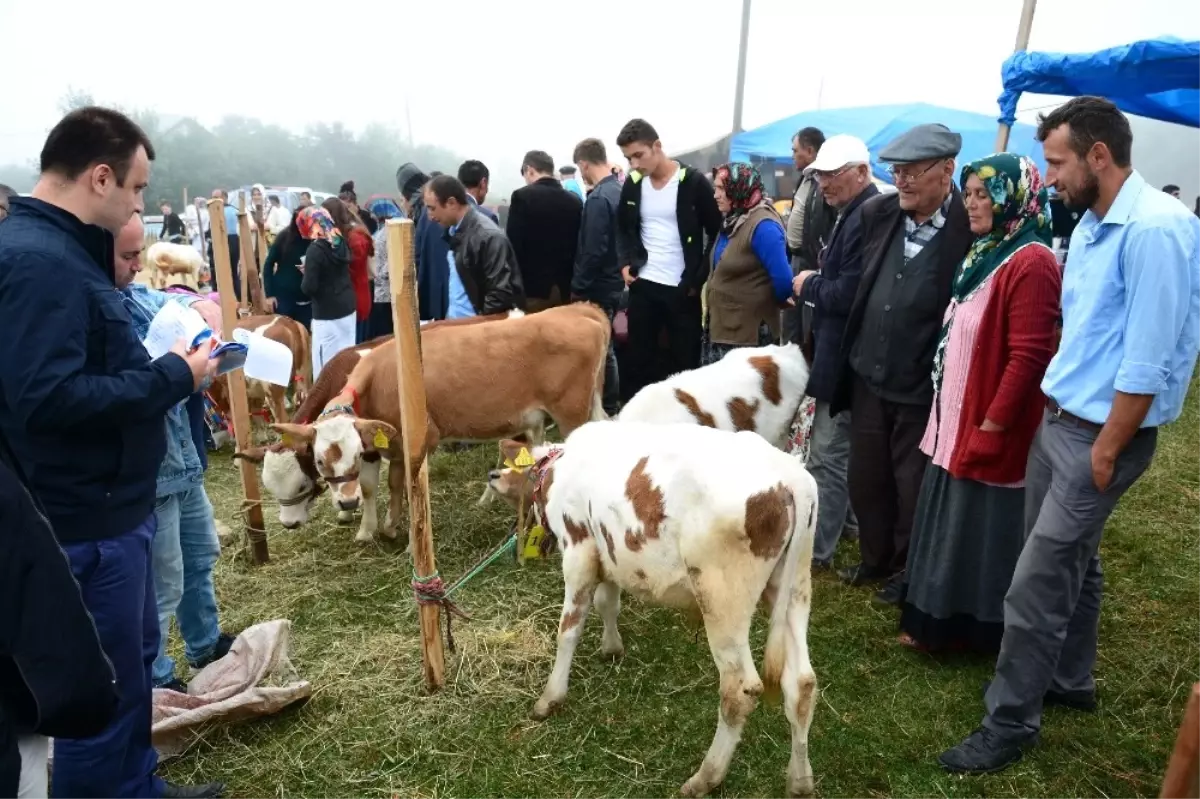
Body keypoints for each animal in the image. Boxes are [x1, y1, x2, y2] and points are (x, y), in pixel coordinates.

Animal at [272, 299, 609, 542]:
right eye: (319, 462)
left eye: (304, 478)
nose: (346, 504)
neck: (377, 378)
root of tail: (579, 309)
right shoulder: (393, 443)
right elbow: (394, 482)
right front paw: (390, 526)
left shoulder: (424, 437)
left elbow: (405, 487)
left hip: (570, 411)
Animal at [484, 419, 816, 791]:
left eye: (512, 466)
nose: (492, 474)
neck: (558, 468)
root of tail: (791, 477)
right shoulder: (608, 552)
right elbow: (607, 602)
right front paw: (612, 647)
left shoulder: (579, 550)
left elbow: (568, 630)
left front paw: (550, 698)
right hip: (793, 589)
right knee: (801, 683)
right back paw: (800, 781)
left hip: (723, 600)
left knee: (740, 689)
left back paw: (705, 777)